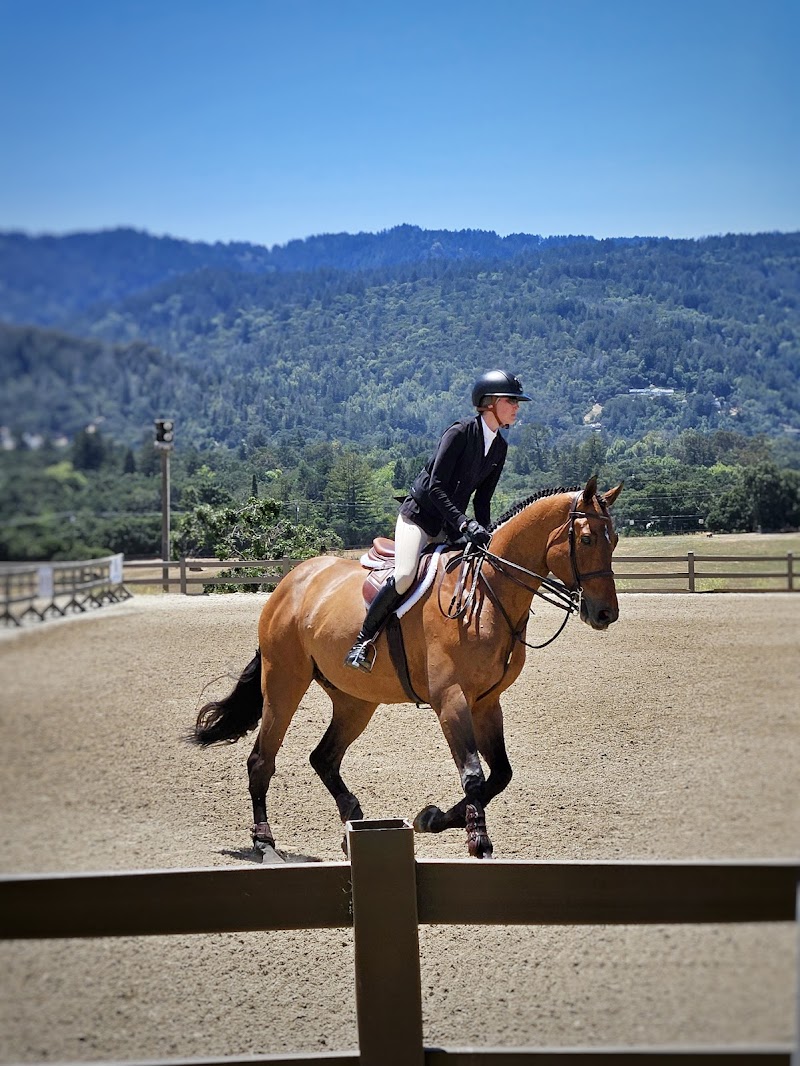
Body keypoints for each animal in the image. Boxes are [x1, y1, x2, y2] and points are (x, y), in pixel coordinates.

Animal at [192, 475, 623, 859]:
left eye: (614, 540)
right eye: (586, 539)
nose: (605, 614)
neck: (486, 593)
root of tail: (291, 580)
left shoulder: (487, 702)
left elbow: (499, 775)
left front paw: (432, 818)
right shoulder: (451, 699)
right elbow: (473, 774)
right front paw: (477, 840)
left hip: (354, 700)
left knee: (323, 757)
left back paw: (353, 822)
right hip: (285, 681)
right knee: (262, 760)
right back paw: (265, 843)